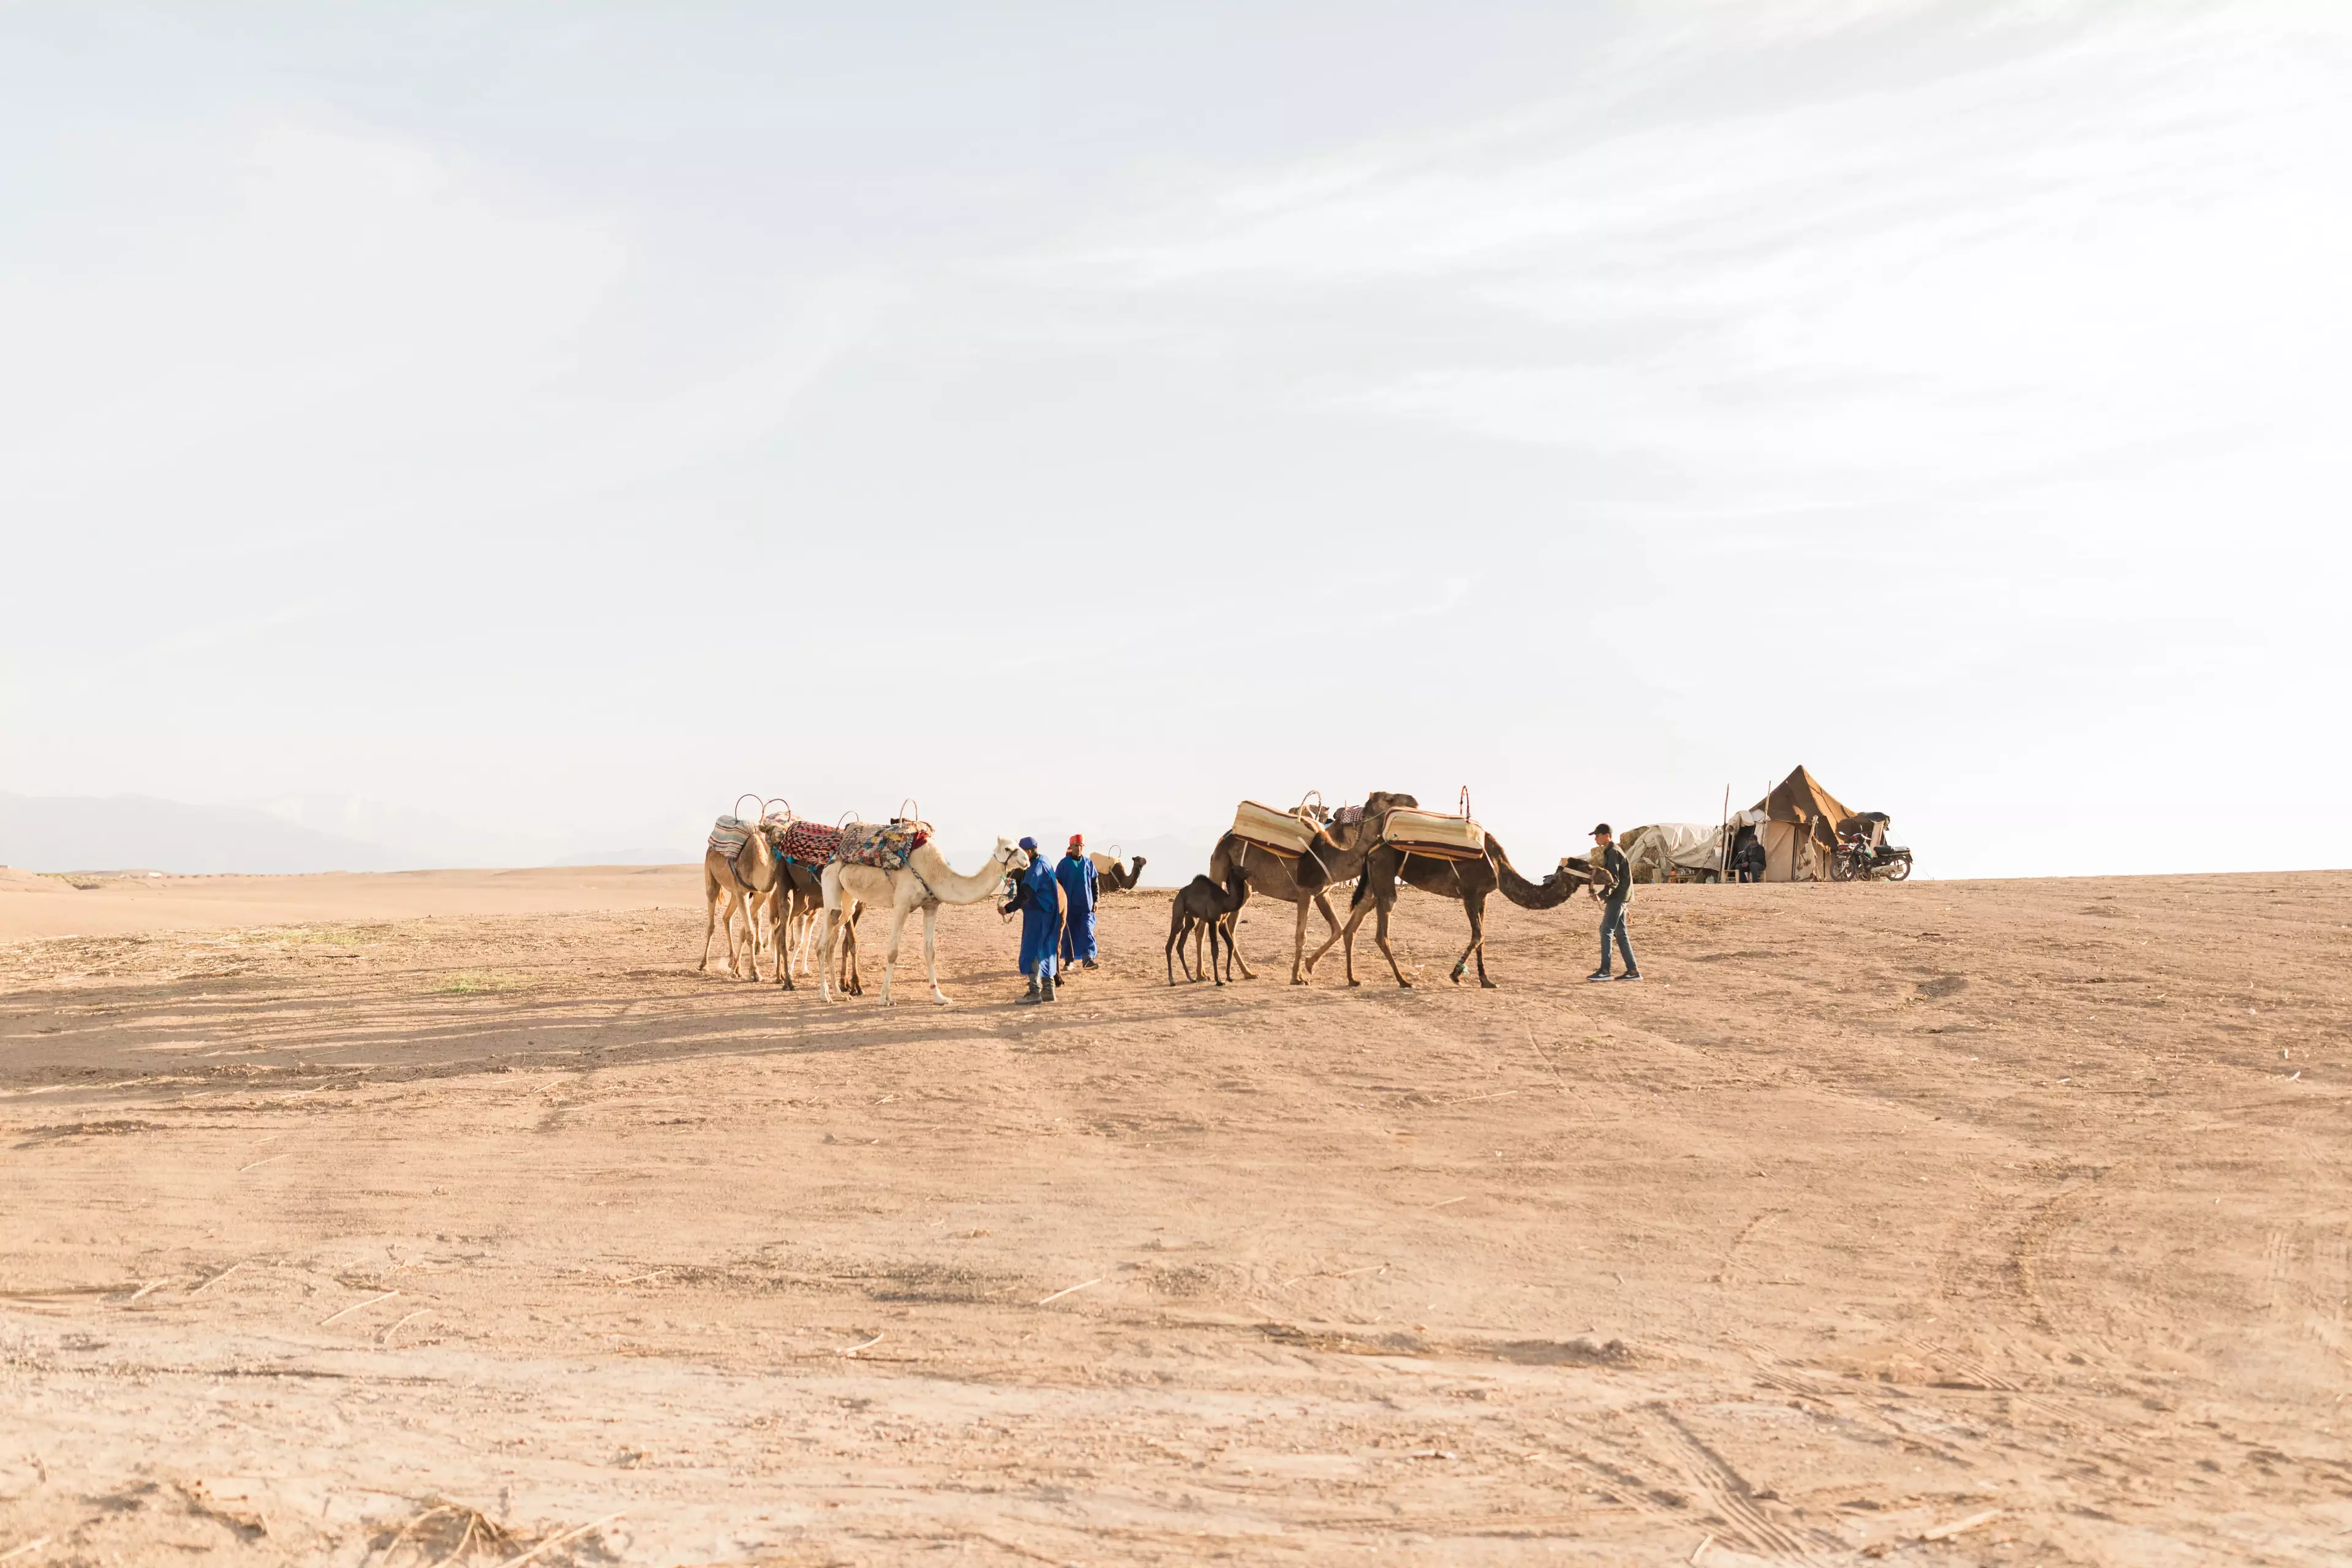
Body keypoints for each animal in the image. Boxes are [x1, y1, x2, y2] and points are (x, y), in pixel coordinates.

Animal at [813, 832, 1025, 1006]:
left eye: (1018, 844)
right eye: (1007, 848)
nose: (1026, 860)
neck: (935, 873)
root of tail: (831, 859)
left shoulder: (931, 906)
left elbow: (930, 952)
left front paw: (939, 997)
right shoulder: (902, 905)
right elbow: (893, 952)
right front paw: (884, 998)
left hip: (848, 899)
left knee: (833, 940)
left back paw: (840, 994)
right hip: (831, 883)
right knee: (823, 940)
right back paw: (825, 995)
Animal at [1161, 870, 1251, 982]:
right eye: (1240, 869)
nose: (1250, 872)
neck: (1224, 902)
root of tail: (1179, 893)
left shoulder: (1222, 922)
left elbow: (1231, 944)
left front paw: (1229, 977)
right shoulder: (1213, 921)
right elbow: (1215, 949)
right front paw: (1218, 980)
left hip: (1189, 915)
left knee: (1183, 939)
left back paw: (1191, 978)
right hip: (1179, 906)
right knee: (1176, 931)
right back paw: (1172, 980)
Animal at [1204, 790, 1420, 987]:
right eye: (1389, 799)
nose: (1414, 801)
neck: (1332, 857)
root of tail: (1225, 836)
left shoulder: (1322, 893)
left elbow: (1337, 929)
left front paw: (1309, 965)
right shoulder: (1305, 893)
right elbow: (1301, 935)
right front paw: (1296, 977)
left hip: (1244, 887)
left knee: (1230, 926)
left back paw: (1247, 973)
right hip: (1219, 864)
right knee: (1206, 920)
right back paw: (1203, 975)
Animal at [1336, 832, 1589, 992]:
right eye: (1588, 866)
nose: (1602, 874)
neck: (1499, 866)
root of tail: (1372, 848)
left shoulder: (1483, 897)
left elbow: (1483, 938)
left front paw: (1486, 980)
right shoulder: (1469, 893)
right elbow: (1479, 935)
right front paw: (1456, 975)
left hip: (1372, 885)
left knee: (1352, 926)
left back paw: (1353, 979)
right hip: (1385, 876)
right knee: (1382, 934)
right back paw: (1404, 981)